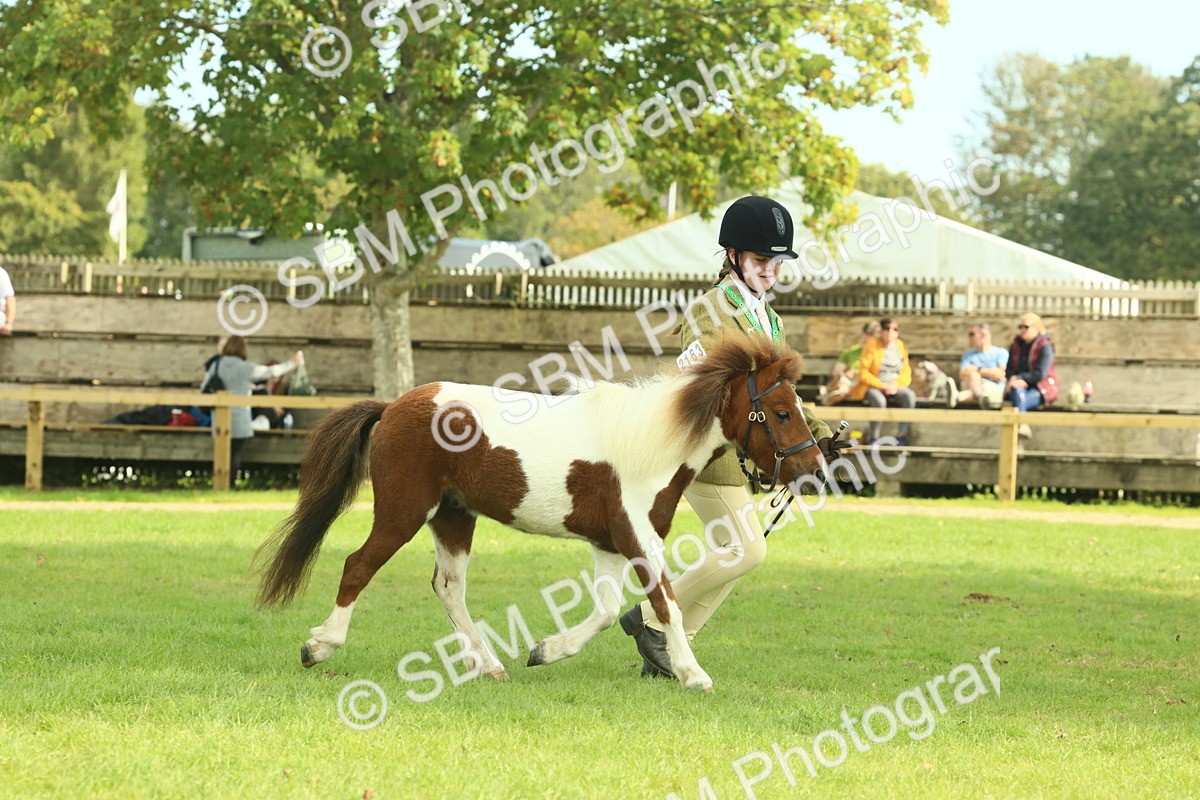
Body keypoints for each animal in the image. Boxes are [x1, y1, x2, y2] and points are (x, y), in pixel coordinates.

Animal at [254, 330, 825, 691]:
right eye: (780, 412)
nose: (815, 468)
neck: (649, 445)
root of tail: (392, 406)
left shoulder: (609, 545)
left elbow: (605, 611)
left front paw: (544, 650)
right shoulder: (638, 540)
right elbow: (667, 605)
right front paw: (693, 675)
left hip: (454, 517)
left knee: (448, 587)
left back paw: (489, 667)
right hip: (403, 512)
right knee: (358, 566)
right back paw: (319, 648)